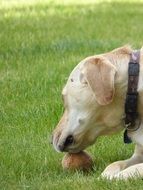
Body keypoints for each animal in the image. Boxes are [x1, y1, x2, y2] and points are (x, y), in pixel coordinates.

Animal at [52, 46, 143, 180]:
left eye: (63, 98)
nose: (51, 140)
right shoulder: (138, 155)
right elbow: (114, 165)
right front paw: (106, 175)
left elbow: (133, 169)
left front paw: (115, 177)